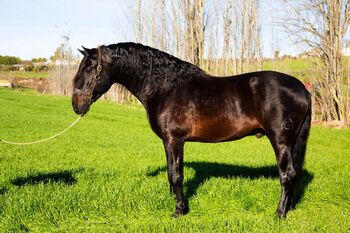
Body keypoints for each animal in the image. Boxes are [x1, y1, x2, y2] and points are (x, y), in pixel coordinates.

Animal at [72, 43, 312, 218]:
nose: (76, 105)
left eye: (89, 68)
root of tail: (302, 88)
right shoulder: (168, 142)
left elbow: (177, 175)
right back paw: (289, 208)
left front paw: (179, 210)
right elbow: (171, 173)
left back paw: (279, 214)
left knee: (287, 175)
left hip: (280, 141)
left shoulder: (174, 140)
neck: (166, 87)